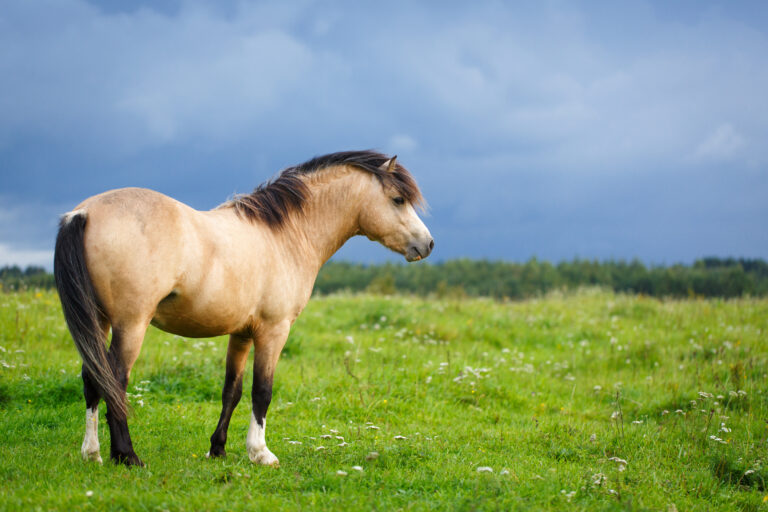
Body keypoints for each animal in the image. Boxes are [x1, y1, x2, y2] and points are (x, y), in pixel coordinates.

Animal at [53, 150, 433, 467]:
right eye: (398, 199)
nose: (427, 244)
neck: (284, 236)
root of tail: (83, 212)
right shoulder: (274, 331)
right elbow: (261, 391)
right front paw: (260, 453)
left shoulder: (242, 333)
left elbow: (231, 391)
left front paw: (217, 449)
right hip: (131, 324)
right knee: (115, 380)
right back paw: (127, 456)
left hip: (100, 321)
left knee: (92, 377)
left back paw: (92, 453)